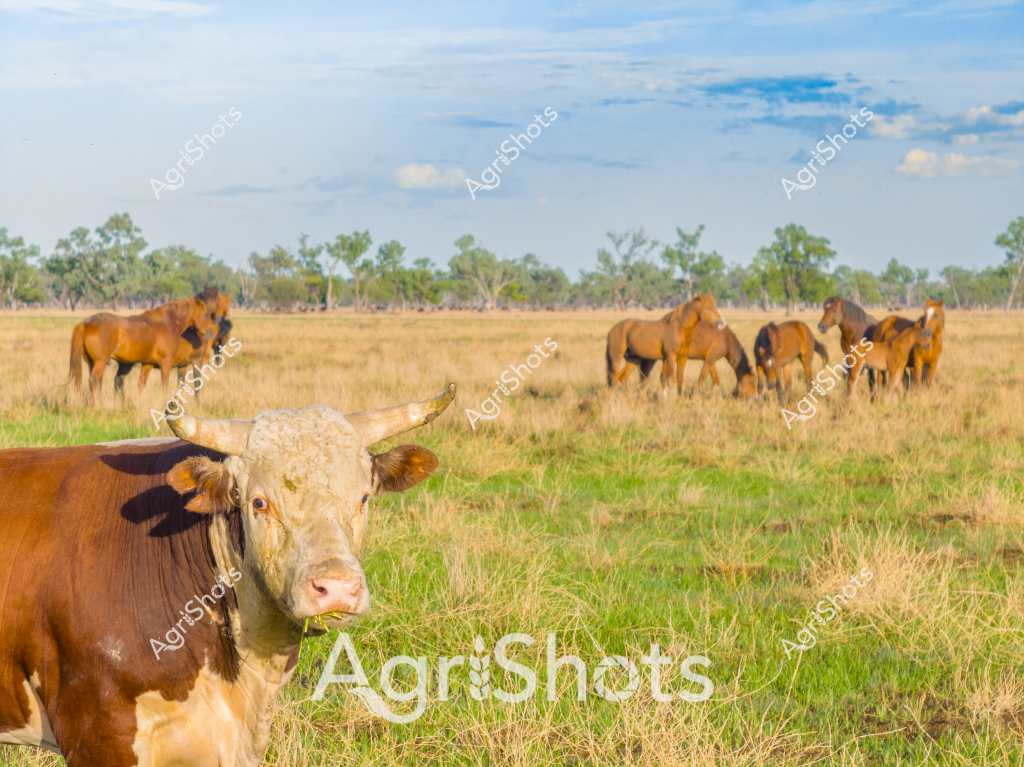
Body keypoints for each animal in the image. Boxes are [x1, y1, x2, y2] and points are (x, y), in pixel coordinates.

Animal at [69, 297, 219, 406]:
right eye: (205, 314)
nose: (211, 333)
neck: (168, 323)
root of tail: (85, 323)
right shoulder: (166, 362)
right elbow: (165, 384)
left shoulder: (147, 364)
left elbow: (141, 385)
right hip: (101, 362)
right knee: (94, 380)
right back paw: (96, 406)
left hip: (93, 363)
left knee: (99, 382)